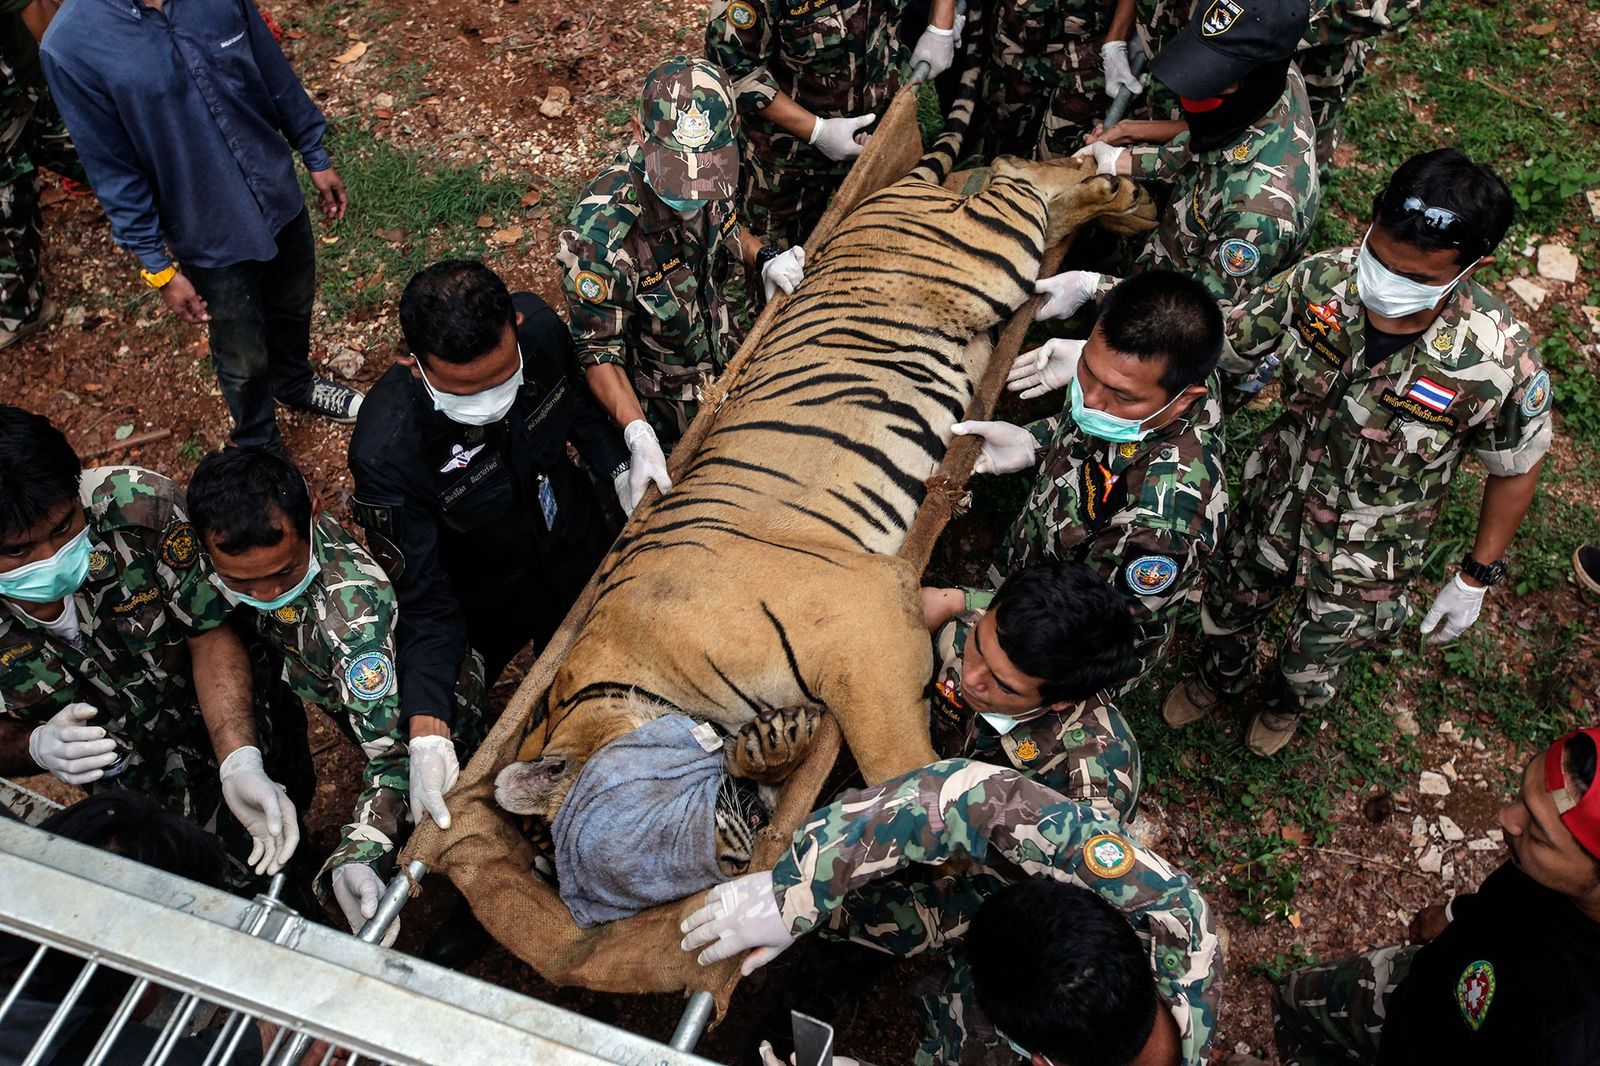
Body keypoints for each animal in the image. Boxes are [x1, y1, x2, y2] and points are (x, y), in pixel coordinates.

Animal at [492, 105, 1158, 832]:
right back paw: (1126, 199)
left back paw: (1121, 191)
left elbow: (893, 761)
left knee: (1017, 174)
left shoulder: (862, 617)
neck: (627, 675)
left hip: (985, 259)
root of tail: (890, 193)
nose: (722, 842)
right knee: (1026, 183)